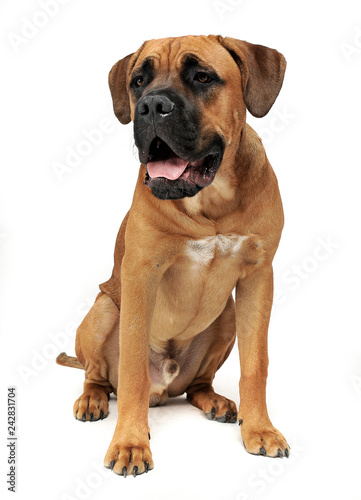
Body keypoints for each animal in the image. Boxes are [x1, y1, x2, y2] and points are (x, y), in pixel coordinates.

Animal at [57, 35, 290, 476]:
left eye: (202, 77)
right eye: (138, 81)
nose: (151, 106)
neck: (210, 203)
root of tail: (165, 389)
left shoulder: (258, 277)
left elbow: (257, 365)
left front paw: (260, 429)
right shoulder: (140, 275)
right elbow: (132, 371)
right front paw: (130, 443)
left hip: (226, 316)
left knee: (198, 384)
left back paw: (215, 402)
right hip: (104, 308)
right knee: (98, 375)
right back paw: (93, 399)